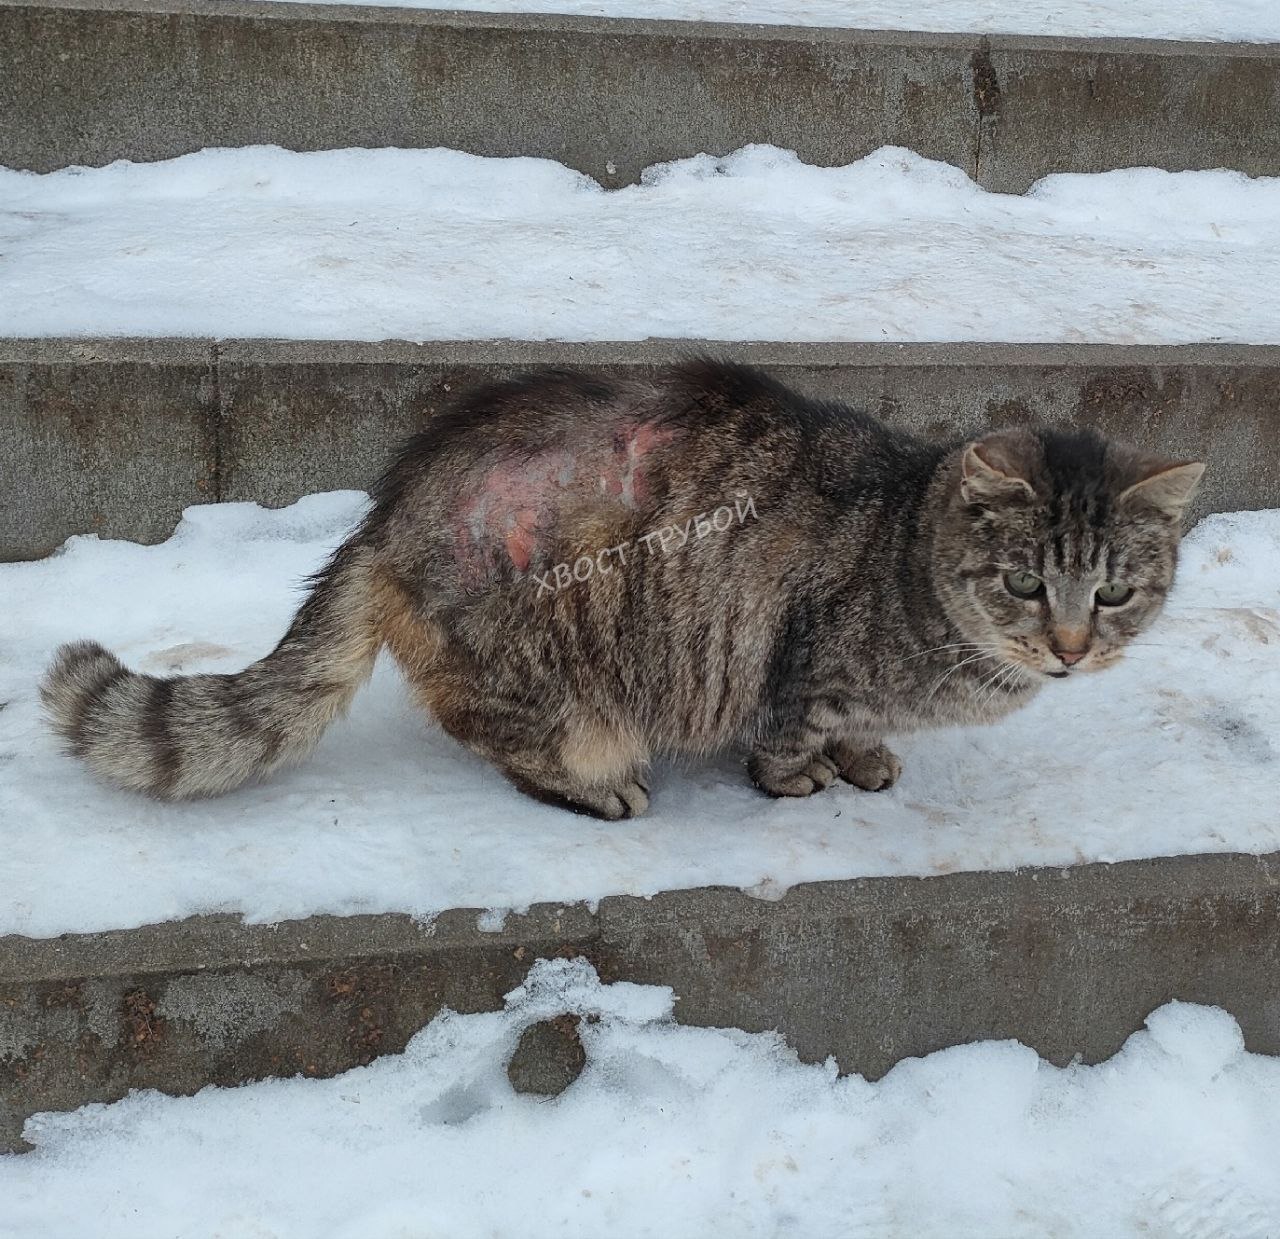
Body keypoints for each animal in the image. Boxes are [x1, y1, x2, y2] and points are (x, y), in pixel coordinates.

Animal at [42, 360, 1204, 819]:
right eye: (1023, 583)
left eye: (1112, 595)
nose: (1069, 647)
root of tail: (386, 509)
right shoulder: (801, 663)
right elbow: (790, 735)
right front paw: (804, 777)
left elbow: (856, 732)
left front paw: (865, 755)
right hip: (547, 668)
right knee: (498, 737)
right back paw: (595, 785)